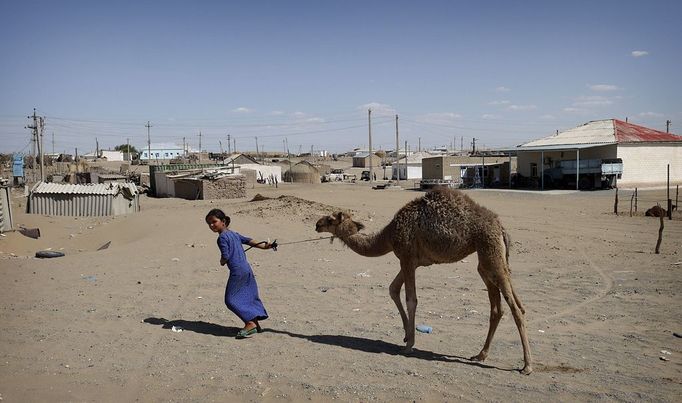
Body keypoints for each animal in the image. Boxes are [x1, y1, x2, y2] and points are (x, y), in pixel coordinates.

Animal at [314, 188, 532, 374]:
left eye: (330, 219)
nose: (317, 224)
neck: (389, 235)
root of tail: (500, 227)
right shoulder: (413, 262)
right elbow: (393, 289)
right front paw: (405, 335)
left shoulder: (406, 256)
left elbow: (411, 299)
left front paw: (409, 345)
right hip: (488, 259)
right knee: (500, 307)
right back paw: (480, 355)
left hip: (489, 250)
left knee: (515, 308)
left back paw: (527, 366)